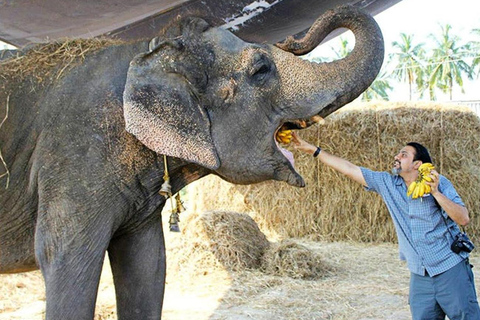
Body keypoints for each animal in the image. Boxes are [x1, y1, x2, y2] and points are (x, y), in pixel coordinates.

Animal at [0, 5, 382, 320]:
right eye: (261, 69)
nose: (292, 38)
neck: (149, 49)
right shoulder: (74, 158)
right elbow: (65, 258)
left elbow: (148, 263)